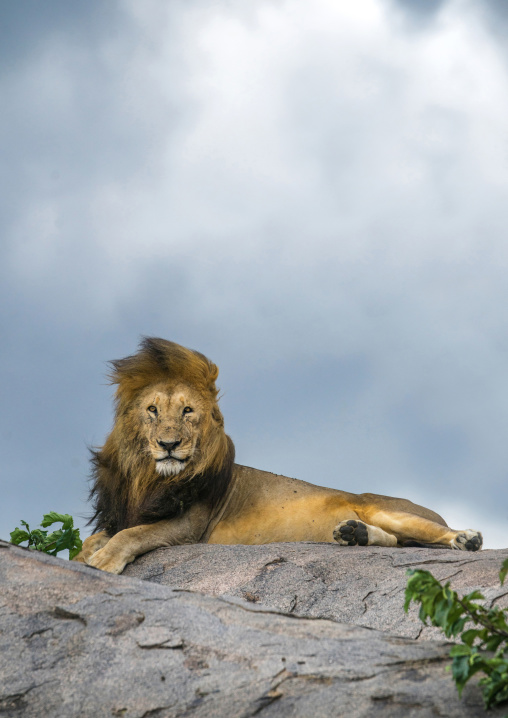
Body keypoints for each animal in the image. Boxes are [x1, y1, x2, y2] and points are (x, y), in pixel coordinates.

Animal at [74, 337, 483, 574]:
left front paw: (104, 561)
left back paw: (466, 538)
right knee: (396, 542)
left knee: (432, 535)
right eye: (153, 410)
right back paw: (354, 534)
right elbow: (96, 537)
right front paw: (84, 556)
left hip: (391, 510)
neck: (149, 477)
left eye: (188, 411)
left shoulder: (189, 526)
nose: (169, 444)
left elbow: (133, 534)